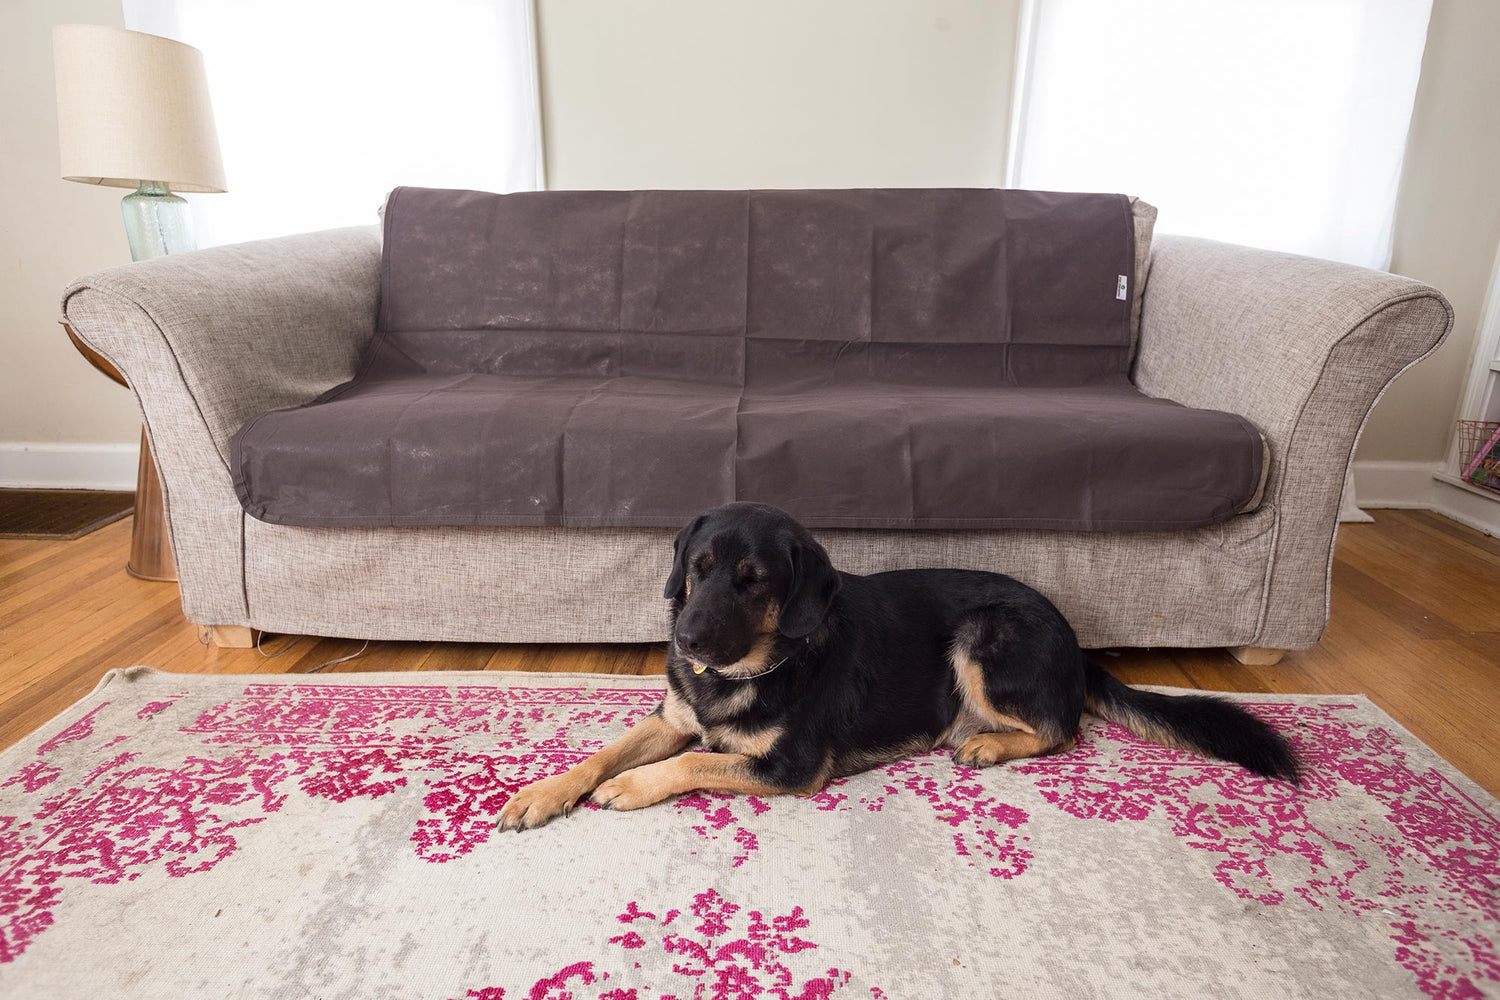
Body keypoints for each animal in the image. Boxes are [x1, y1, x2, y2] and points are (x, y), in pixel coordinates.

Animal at [498, 500, 1296, 827]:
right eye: (697, 569)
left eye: (753, 581)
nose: (686, 640)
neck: (762, 664)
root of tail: (1076, 643)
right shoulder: (671, 718)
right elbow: (602, 753)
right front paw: (542, 793)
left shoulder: (788, 767)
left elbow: (691, 761)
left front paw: (631, 789)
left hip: (981, 635)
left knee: (1061, 728)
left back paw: (985, 743)